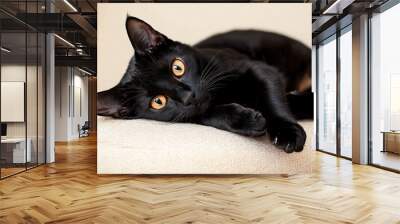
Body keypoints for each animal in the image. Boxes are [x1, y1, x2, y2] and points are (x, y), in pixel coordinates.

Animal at [97, 16, 312, 153]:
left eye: (177, 67)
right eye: (158, 102)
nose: (188, 96)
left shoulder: (260, 69)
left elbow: (273, 100)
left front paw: (287, 133)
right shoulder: (194, 113)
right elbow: (207, 115)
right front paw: (248, 120)